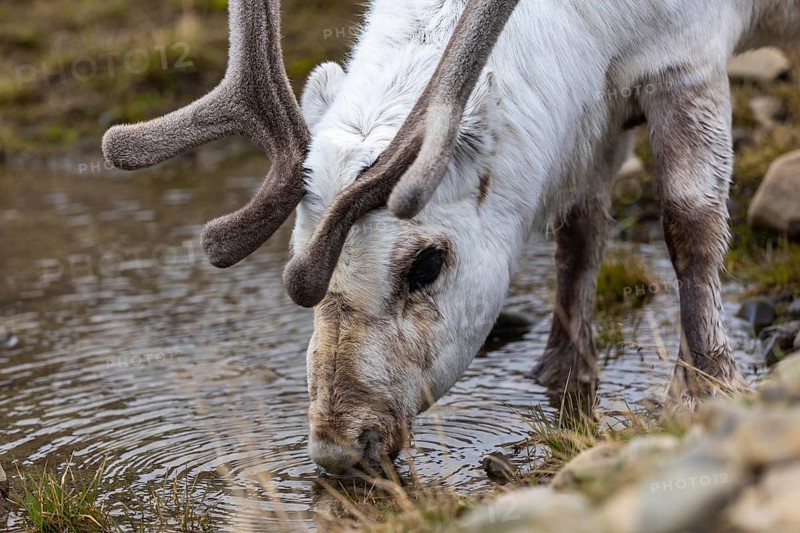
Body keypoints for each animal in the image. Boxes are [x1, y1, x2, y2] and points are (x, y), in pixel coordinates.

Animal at [102, 0, 800, 474]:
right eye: (295, 255)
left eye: (426, 264)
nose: (338, 446)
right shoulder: (593, 106)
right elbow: (579, 232)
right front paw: (563, 373)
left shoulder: (686, 59)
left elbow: (690, 227)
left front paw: (706, 388)